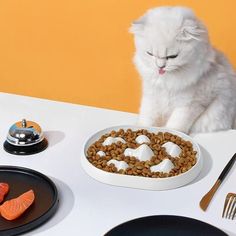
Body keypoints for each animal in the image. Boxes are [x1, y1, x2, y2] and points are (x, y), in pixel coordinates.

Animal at [130, 6, 236, 134]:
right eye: (150, 54)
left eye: (172, 56)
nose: (160, 66)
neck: (167, 82)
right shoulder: (151, 97)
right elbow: (146, 118)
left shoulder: (191, 103)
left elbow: (176, 124)